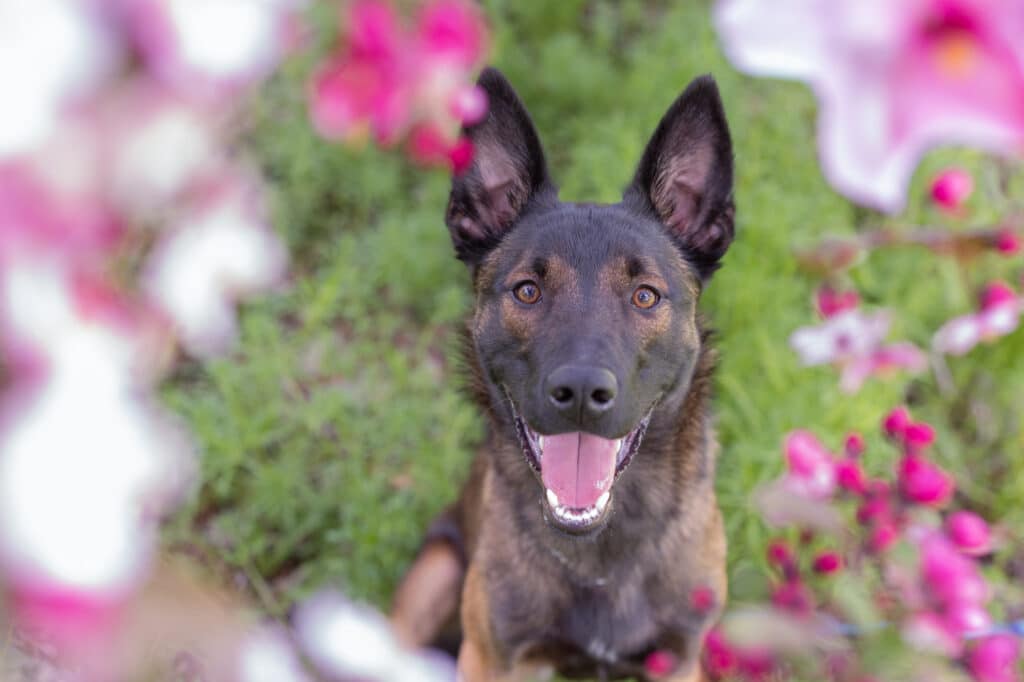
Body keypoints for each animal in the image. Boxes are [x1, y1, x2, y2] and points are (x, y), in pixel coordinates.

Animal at [391, 65, 737, 679]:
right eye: (527, 290)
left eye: (645, 295)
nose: (580, 391)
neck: (602, 550)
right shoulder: (492, 656)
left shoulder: (679, 657)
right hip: (432, 576)